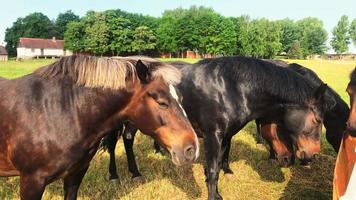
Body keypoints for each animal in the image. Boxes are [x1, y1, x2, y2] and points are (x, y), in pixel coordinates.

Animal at [101, 56, 330, 200]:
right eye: (317, 120)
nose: (312, 154)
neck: (232, 87)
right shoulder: (213, 136)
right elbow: (212, 170)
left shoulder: (225, 136)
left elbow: (219, 165)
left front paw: (219, 191)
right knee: (117, 143)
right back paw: (117, 175)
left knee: (127, 140)